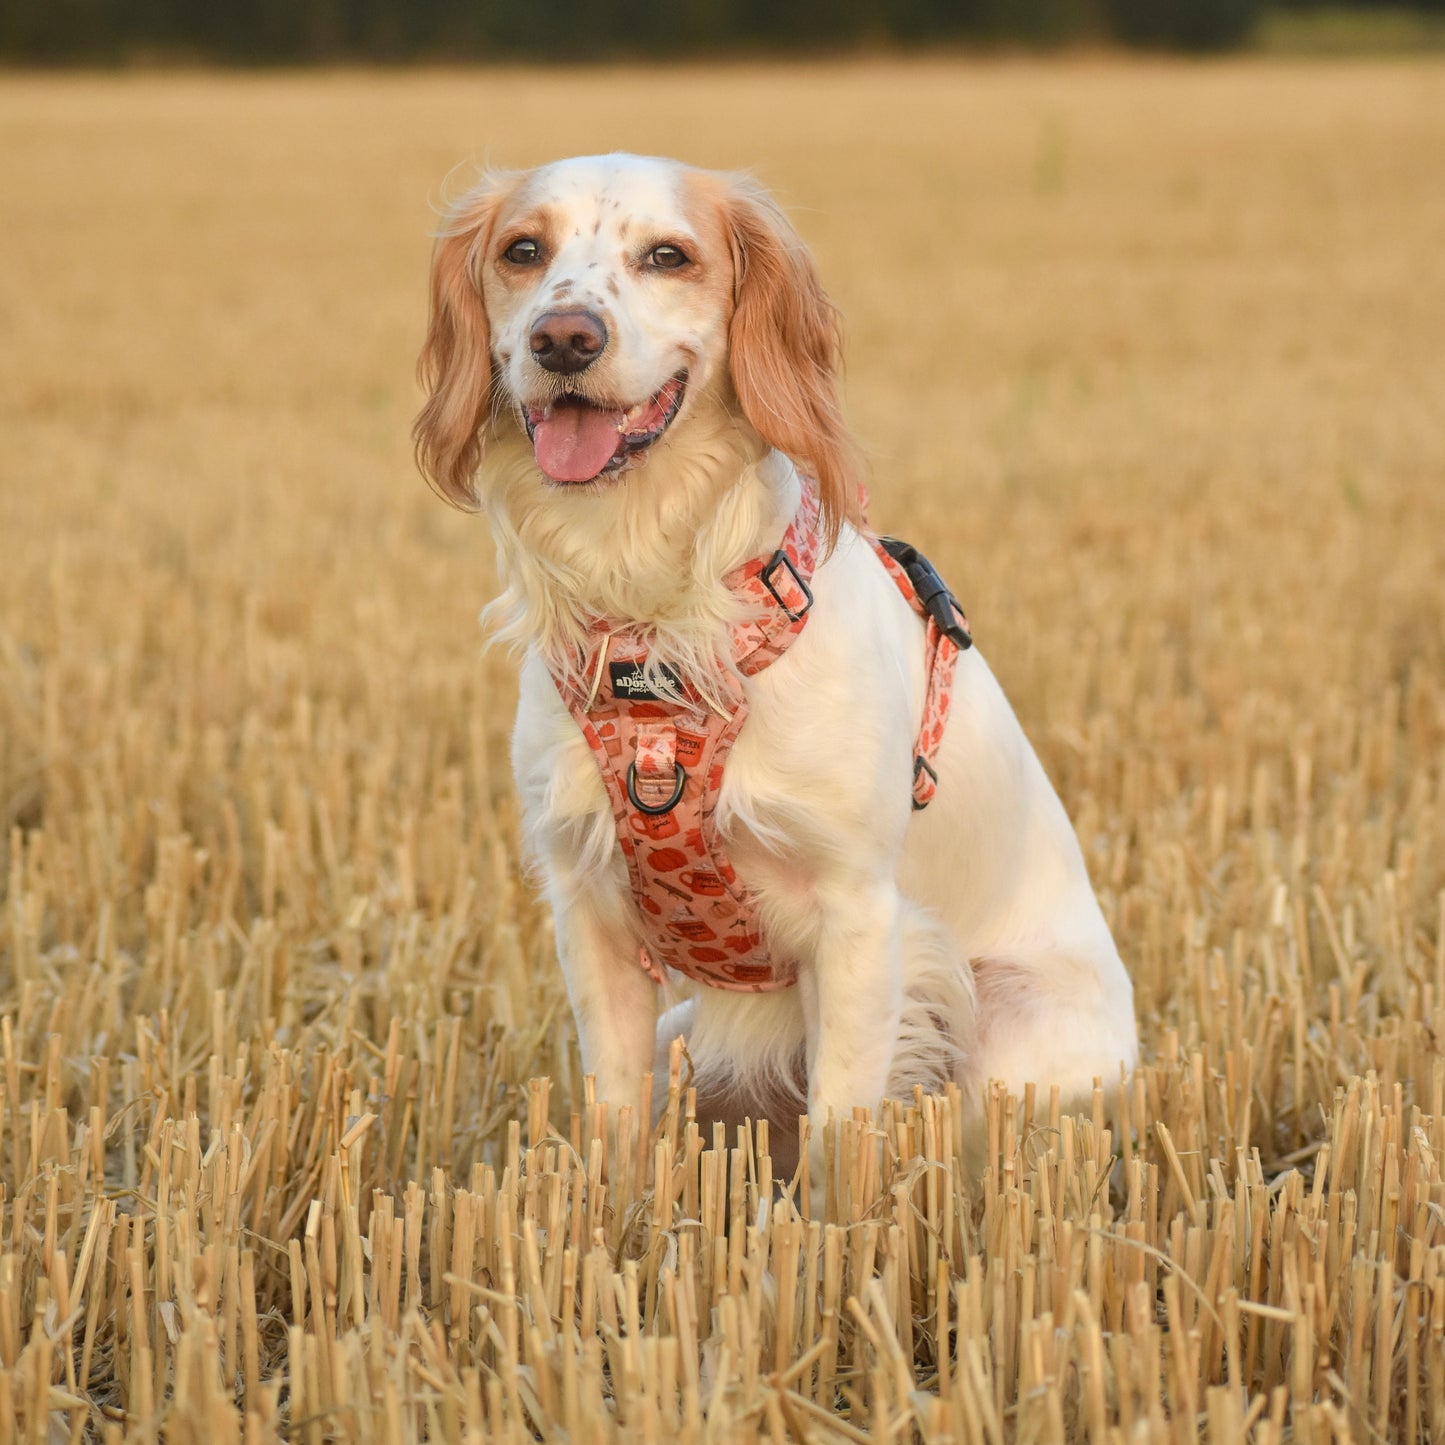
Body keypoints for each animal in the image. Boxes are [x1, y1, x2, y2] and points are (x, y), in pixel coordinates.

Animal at [413, 152, 1132, 1179]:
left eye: (667, 255)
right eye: (522, 250)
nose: (563, 338)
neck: (657, 629)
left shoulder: (859, 916)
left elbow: (839, 1142)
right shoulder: (587, 914)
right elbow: (612, 1128)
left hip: (1006, 1029)